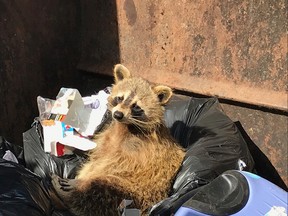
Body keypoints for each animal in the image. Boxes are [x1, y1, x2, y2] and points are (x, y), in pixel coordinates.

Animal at [51, 63, 184, 215]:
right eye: (120, 98)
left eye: (136, 106)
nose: (118, 114)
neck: (125, 126)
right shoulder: (107, 137)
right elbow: (98, 158)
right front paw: (83, 173)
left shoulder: (138, 150)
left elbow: (110, 164)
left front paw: (80, 180)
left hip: (134, 193)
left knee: (101, 188)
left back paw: (70, 194)